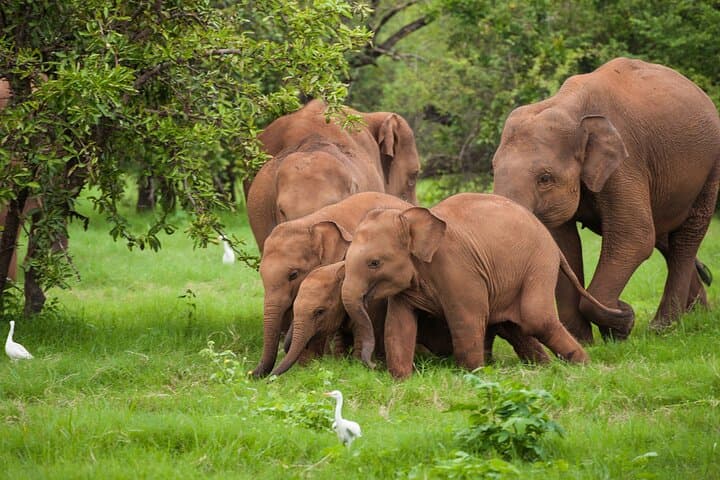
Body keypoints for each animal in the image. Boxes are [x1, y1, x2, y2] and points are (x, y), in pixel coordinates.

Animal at [341, 193, 631, 379]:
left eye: (374, 263)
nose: (371, 366)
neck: (411, 218)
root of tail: (551, 242)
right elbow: (398, 325)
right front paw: (401, 380)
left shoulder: (458, 269)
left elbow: (467, 318)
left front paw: (473, 376)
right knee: (513, 326)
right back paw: (546, 368)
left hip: (539, 263)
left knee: (536, 319)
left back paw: (584, 367)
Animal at [492, 57, 720, 340]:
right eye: (493, 168)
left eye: (545, 178)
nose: (623, 307)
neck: (567, 106)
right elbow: (563, 244)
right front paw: (585, 340)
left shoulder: (625, 162)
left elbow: (634, 235)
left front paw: (622, 323)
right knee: (665, 239)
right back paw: (698, 316)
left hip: (711, 167)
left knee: (685, 239)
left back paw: (663, 328)